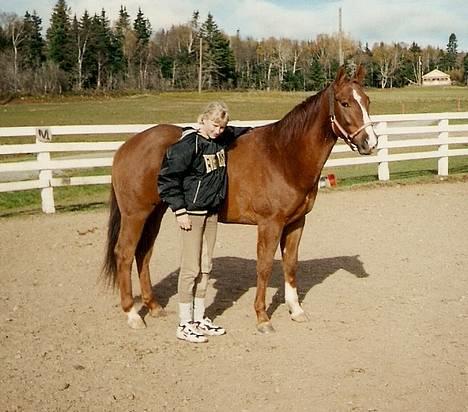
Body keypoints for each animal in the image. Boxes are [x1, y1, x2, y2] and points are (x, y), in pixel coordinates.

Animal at [101, 66, 376, 334]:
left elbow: (291, 264)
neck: (284, 155)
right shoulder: (270, 224)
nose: (370, 143)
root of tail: (127, 145)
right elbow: (264, 267)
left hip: (155, 213)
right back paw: (133, 314)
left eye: (367, 101)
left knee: (143, 253)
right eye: (344, 103)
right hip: (135, 214)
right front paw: (263, 317)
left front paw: (296, 310)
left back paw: (154, 306)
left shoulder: (296, 223)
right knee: (124, 254)